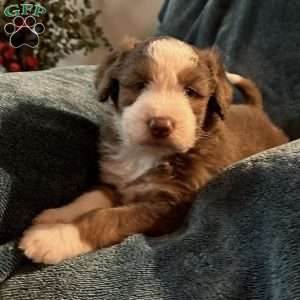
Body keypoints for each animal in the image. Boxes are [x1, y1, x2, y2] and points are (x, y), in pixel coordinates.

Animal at [19, 36, 288, 264]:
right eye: (139, 85)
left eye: (190, 92)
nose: (161, 125)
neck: (146, 155)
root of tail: (257, 110)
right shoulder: (116, 180)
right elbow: (92, 198)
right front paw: (56, 216)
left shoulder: (168, 207)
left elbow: (106, 217)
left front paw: (53, 237)